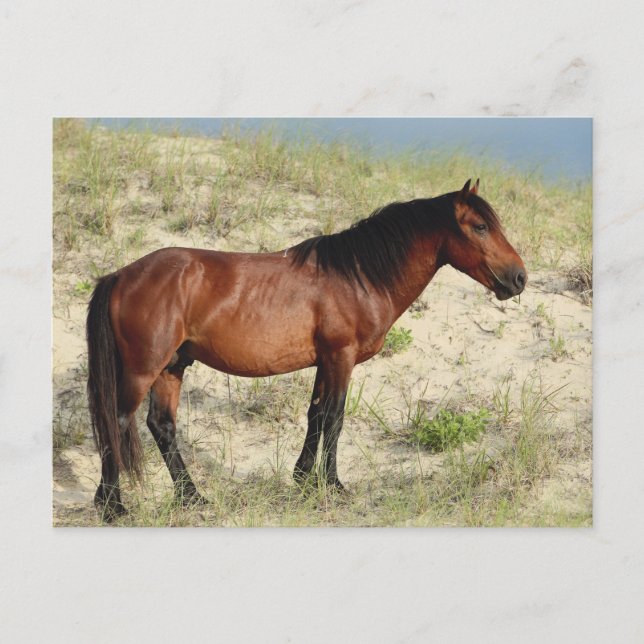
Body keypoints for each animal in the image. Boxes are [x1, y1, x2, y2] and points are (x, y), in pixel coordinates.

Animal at [86, 179, 526, 520]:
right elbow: (335, 418)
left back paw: (192, 497)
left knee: (162, 426)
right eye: (480, 226)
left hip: (172, 367)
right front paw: (333, 484)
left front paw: (301, 480)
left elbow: (315, 416)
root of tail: (120, 275)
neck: (356, 275)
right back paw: (113, 506)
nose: (519, 277)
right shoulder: (341, 358)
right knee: (117, 421)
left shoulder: (324, 362)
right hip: (143, 369)